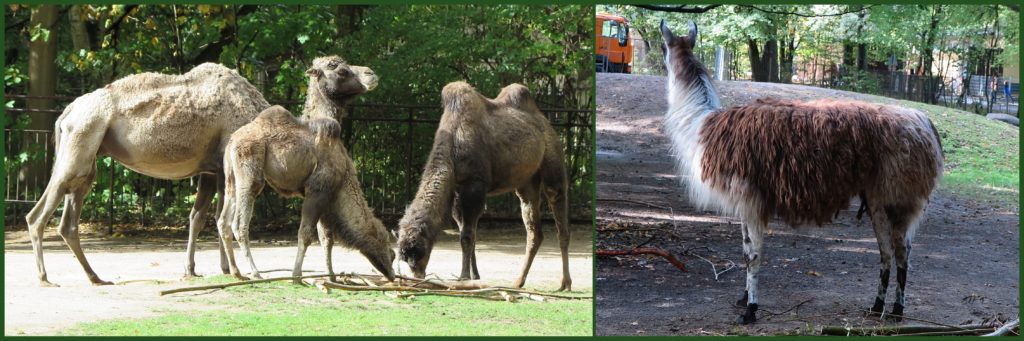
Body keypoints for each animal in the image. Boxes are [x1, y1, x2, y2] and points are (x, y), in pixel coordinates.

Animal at [23, 56, 376, 286]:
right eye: (340, 68)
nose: (372, 74)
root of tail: (67, 111)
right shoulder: (223, 164)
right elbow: (219, 216)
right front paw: (231, 269)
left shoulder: (210, 169)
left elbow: (198, 217)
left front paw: (195, 268)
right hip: (79, 145)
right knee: (38, 214)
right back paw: (44, 277)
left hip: (88, 158)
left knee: (68, 221)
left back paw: (96, 277)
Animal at [397, 81, 573, 288]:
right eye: (404, 257)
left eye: (419, 251)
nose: (416, 277)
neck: (452, 146)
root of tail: (545, 121)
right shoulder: (458, 191)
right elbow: (467, 233)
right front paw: (475, 275)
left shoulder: (474, 185)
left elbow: (466, 236)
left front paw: (464, 276)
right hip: (527, 183)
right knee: (534, 230)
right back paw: (518, 281)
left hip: (553, 160)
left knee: (559, 209)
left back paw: (565, 283)